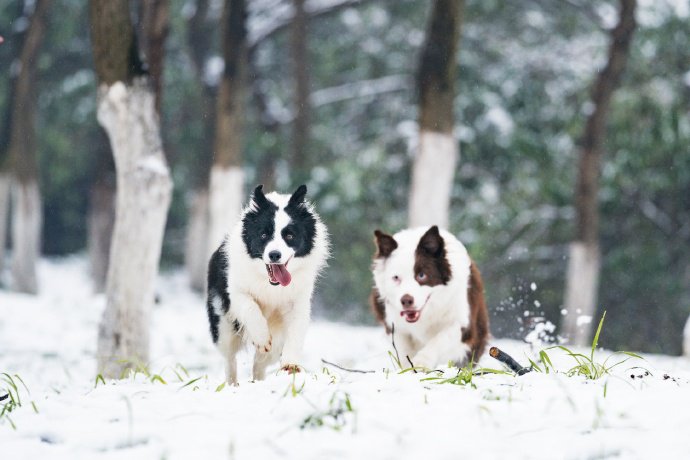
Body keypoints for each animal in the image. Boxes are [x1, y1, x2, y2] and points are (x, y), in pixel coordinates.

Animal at [206, 185, 330, 382]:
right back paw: (232, 383)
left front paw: (290, 366)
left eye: (289, 235)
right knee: (229, 358)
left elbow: (295, 331)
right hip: (223, 325)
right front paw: (262, 338)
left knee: (260, 362)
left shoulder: (298, 301)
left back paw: (258, 380)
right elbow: (250, 307)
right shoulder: (236, 292)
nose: (274, 255)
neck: (270, 284)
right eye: (263, 234)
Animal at [368, 225, 486, 368]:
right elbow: (403, 349)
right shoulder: (394, 323)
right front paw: (408, 367)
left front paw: (421, 362)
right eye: (396, 278)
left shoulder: (461, 321)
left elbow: (439, 340)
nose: (406, 300)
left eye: (422, 275)